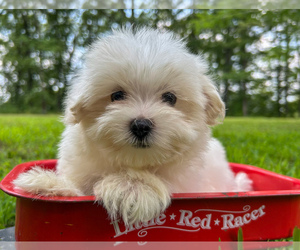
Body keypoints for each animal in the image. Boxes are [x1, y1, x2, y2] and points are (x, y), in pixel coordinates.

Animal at [14, 26, 253, 225]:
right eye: (117, 95)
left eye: (170, 98)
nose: (141, 125)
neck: (133, 162)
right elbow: (78, 186)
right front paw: (51, 185)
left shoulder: (190, 185)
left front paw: (131, 188)